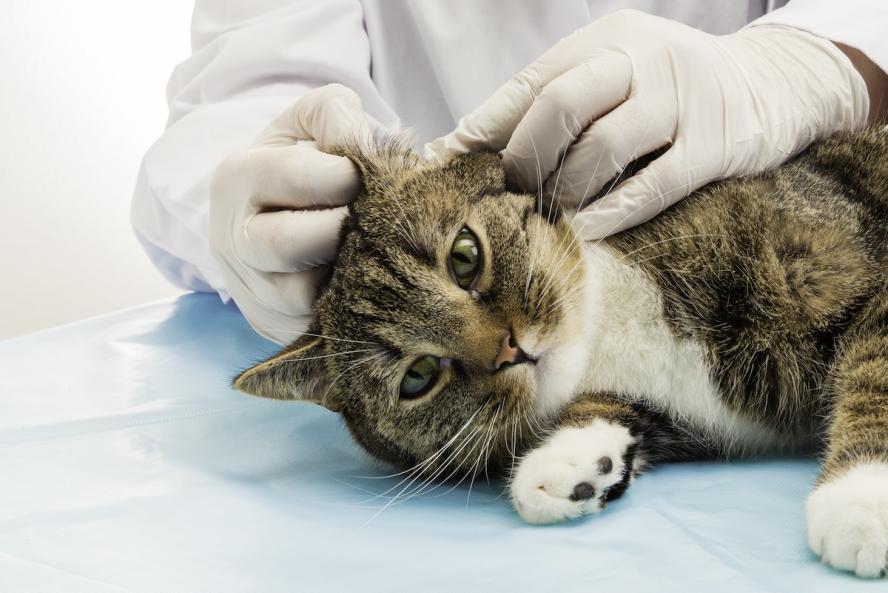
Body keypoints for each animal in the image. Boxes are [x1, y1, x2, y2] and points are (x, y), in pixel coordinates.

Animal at [231, 127, 888, 576]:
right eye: (418, 376)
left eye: (465, 256)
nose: (510, 351)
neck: (608, 322)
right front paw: (570, 463)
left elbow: (875, 372)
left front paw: (860, 497)